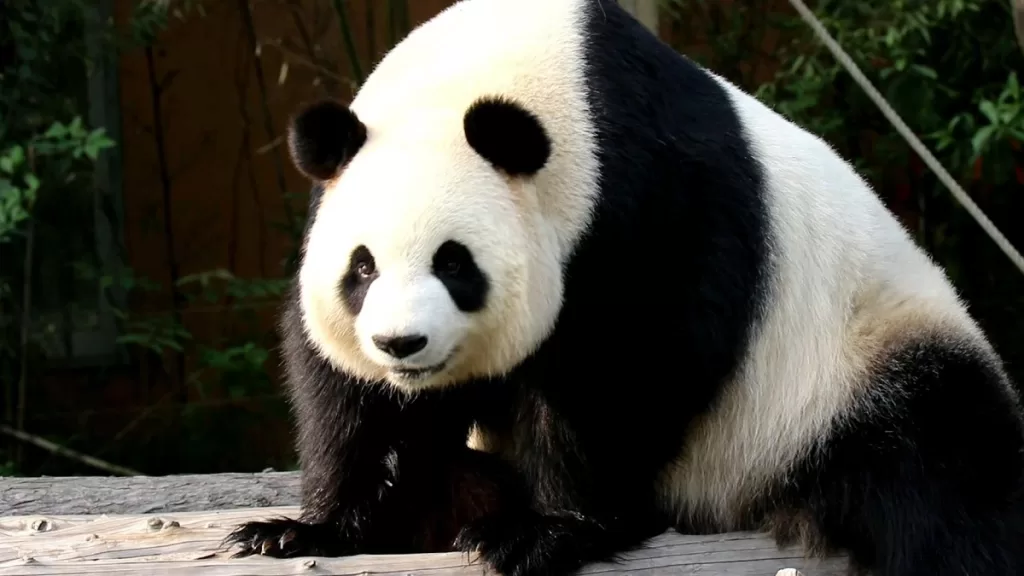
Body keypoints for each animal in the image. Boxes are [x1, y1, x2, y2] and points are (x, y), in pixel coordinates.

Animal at [226, 0, 1024, 574]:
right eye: (361, 268)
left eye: (456, 264)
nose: (401, 343)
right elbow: (344, 391)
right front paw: (300, 530)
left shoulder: (646, 204)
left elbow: (629, 366)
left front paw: (547, 532)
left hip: (854, 365)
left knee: (937, 472)